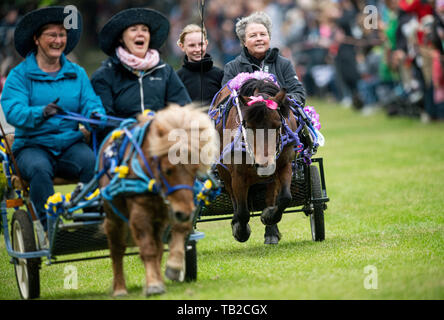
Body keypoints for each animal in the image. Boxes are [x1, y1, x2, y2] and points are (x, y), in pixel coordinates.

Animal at [99, 104, 219, 296]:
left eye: (194, 170)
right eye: (168, 170)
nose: (184, 213)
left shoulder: (169, 213)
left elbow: (173, 236)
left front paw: (173, 268)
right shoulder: (141, 214)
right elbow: (147, 248)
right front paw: (154, 284)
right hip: (113, 217)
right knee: (116, 249)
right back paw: (119, 288)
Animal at [212, 79, 298, 244]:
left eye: (277, 126)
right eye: (248, 126)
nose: (264, 165)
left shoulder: (284, 163)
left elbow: (285, 197)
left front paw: (269, 216)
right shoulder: (237, 175)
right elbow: (242, 211)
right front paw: (240, 230)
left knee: (271, 196)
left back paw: (271, 229)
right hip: (224, 172)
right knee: (233, 197)